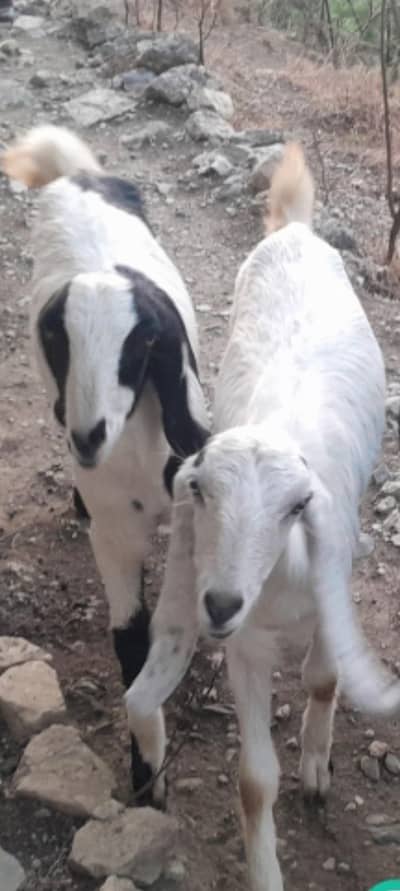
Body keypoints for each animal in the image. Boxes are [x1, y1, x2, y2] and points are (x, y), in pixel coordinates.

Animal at [2, 125, 209, 808]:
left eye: (142, 343)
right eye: (56, 339)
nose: (88, 436)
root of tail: (80, 176)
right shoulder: (115, 531)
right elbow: (129, 641)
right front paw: (148, 777)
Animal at [125, 143, 400, 886]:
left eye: (297, 505)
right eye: (199, 492)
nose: (218, 602)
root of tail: (299, 228)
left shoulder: (333, 586)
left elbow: (324, 677)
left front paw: (316, 768)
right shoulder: (243, 646)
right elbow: (253, 783)